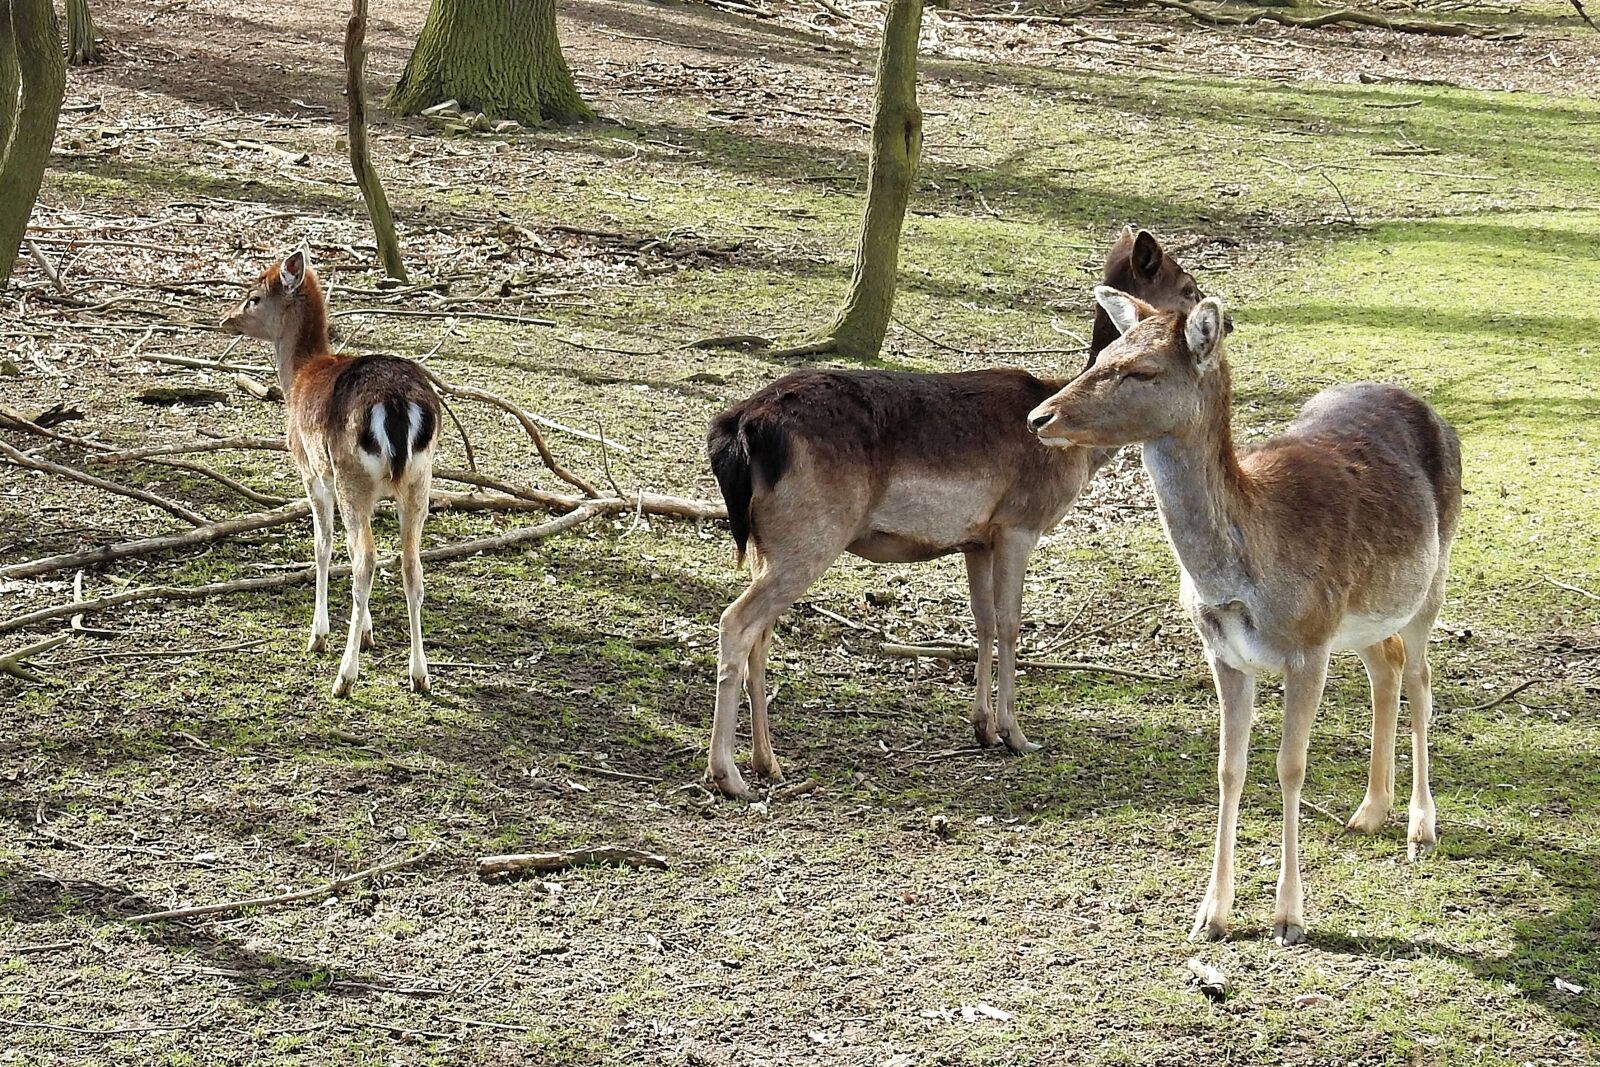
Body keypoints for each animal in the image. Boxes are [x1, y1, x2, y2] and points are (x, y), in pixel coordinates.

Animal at [220, 249, 439, 697]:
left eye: (253, 297)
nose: (225, 317)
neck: (299, 374)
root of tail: (397, 405)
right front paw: (369, 632)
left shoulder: (312, 469)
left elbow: (323, 545)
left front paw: (318, 635)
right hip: (418, 481)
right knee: (411, 563)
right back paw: (420, 675)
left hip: (351, 476)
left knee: (365, 559)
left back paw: (344, 677)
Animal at [702, 228, 1206, 796]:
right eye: (1187, 288)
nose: (1224, 321)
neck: (1075, 454)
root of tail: (739, 427)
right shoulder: (1019, 522)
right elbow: (1010, 621)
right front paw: (1016, 733)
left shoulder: (976, 540)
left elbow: (982, 620)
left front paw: (982, 727)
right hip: (810, 533)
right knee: (736, 621)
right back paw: (727, 774)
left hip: (769, 541)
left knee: (761, 633)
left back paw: (769, 762)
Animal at [1025, 287, 1462, 944]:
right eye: (1103, 353)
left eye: (1143, 370)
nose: (1039, 418)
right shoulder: (1225, 653)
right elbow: (1230, 768)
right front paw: (1211, 915)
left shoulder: (1307, 647)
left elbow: (1290, 766)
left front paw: (1288, 918)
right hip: (1362, 613)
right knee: (1384, 668)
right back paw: (1368, 812)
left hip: (1430, 581)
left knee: (1421, 678)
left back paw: (1420, 826)